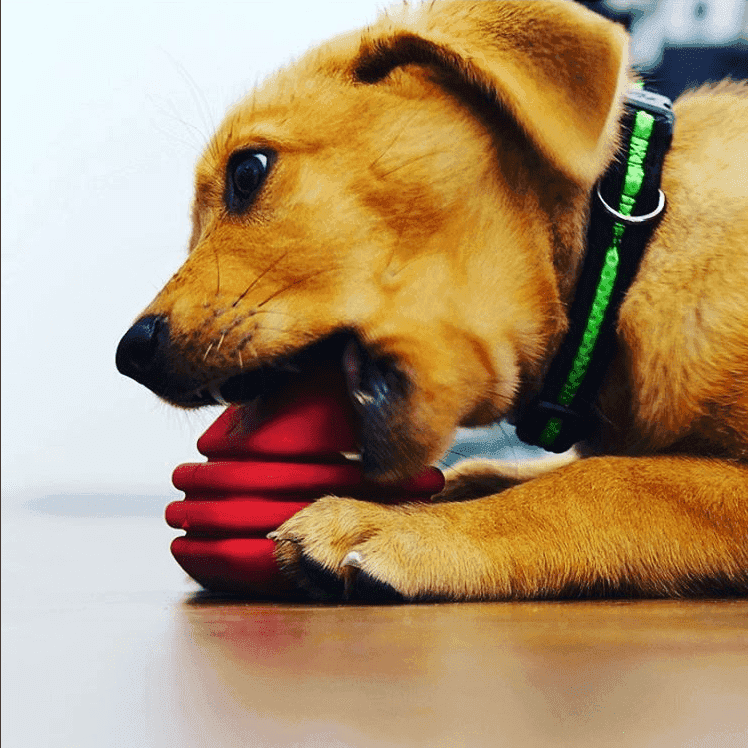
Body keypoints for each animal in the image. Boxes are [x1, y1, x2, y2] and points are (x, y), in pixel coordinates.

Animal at [118, 0, 748, 600]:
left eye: (248, 171)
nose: (131, 353)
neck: (623, 252)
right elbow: (498, 470)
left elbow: (611, 482)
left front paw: (400, 528)